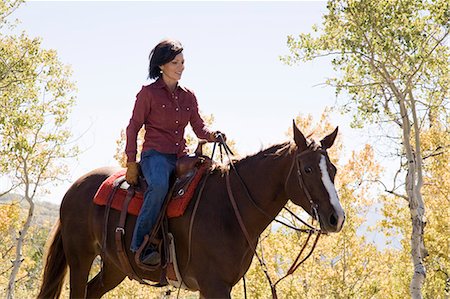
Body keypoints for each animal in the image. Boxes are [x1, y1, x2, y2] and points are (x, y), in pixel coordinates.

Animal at [37, 122, 344, 299]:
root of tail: (75, 187)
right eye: (307, 169)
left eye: (333, 170)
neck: (231, 209)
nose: (336, 218)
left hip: (115, 266)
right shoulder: (214, 285)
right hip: (80, 258)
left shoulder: (216, 286)